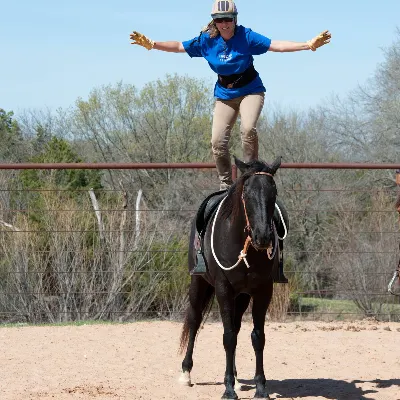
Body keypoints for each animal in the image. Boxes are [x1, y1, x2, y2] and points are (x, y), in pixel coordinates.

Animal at [178, 156, 282, 400]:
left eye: (273, 192)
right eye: (247, 194)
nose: (263, 237)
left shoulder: (263, 291)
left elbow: (257, 337)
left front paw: (260, 387)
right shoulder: (223, 289)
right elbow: (228, 337)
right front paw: (228, 389)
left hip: (242, 296)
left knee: (235, 325)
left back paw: (235, 374)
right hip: (199, 283)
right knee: (195, 320)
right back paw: (186, 372)